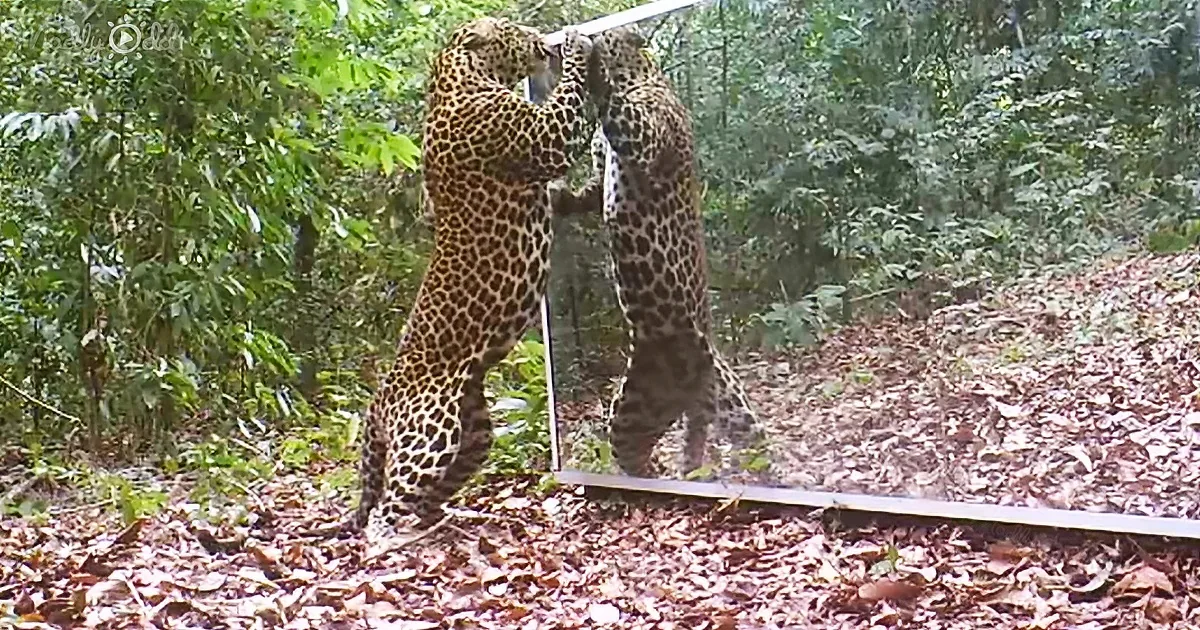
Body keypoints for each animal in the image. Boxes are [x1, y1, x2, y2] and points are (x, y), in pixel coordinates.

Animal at [353, 17, 593, 546]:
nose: (541, 36)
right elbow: (569, 105)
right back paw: (397, 540)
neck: (460, 75)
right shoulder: (542, 135)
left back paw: (443, 521)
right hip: (431, 430)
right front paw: (577, 44)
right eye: (517, 29)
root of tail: (376, 403)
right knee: (384, 508)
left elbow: (560, 195)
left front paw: (589, 194)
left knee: (427, 493)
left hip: (475, 432)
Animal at [551, 26, 770, 479]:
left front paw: (581, 48)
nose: (592, 30)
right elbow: (586, 191)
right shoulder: (601, 171)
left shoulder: (643, 135)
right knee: (646, 458)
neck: (640, 76)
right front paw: (556, 194)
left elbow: (611, 98)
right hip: (663, 407)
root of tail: (693, 393)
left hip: (682, 402)